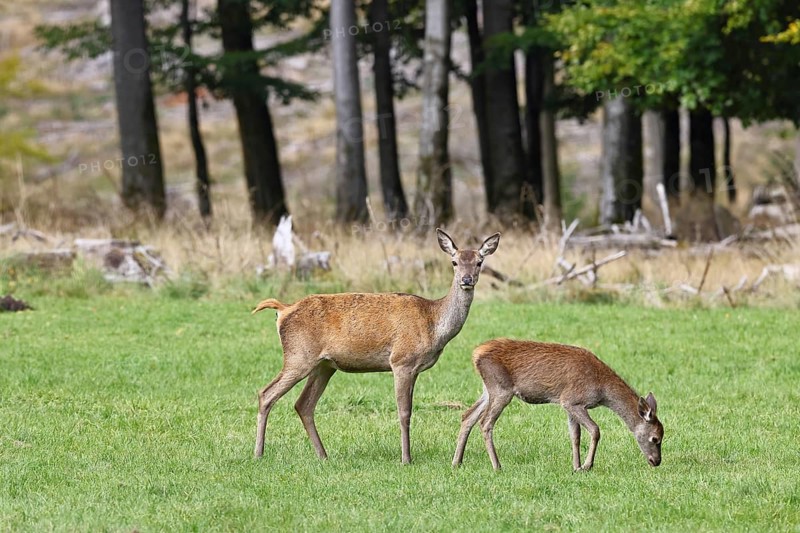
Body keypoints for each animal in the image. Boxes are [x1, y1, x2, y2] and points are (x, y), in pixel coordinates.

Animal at [251, 229, 500, 464]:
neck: (433, 323)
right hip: (298, 356)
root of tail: (283, 310)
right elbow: (404, 412)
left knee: (303, 404)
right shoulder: (401, 360)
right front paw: (406, 459)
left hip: (324, 365)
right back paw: (258, 453)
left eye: (479, 262)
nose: (466, 279)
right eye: (454, 262)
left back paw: (323, 455)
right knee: (266, 393)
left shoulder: (415, 369)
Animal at [452, 338, 663, 471]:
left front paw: (576, 466)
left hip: (488, 389)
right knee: (485, 422)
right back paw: (497, 466)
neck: (602, 390)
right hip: (501, 389)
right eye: (655, 438)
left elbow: (575, 436)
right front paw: (587, 466)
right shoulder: (573, 399)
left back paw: (457, 462)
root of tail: (475, 354)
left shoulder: (569, 406)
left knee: (467, 416)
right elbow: (595, 430)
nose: (656, 461)